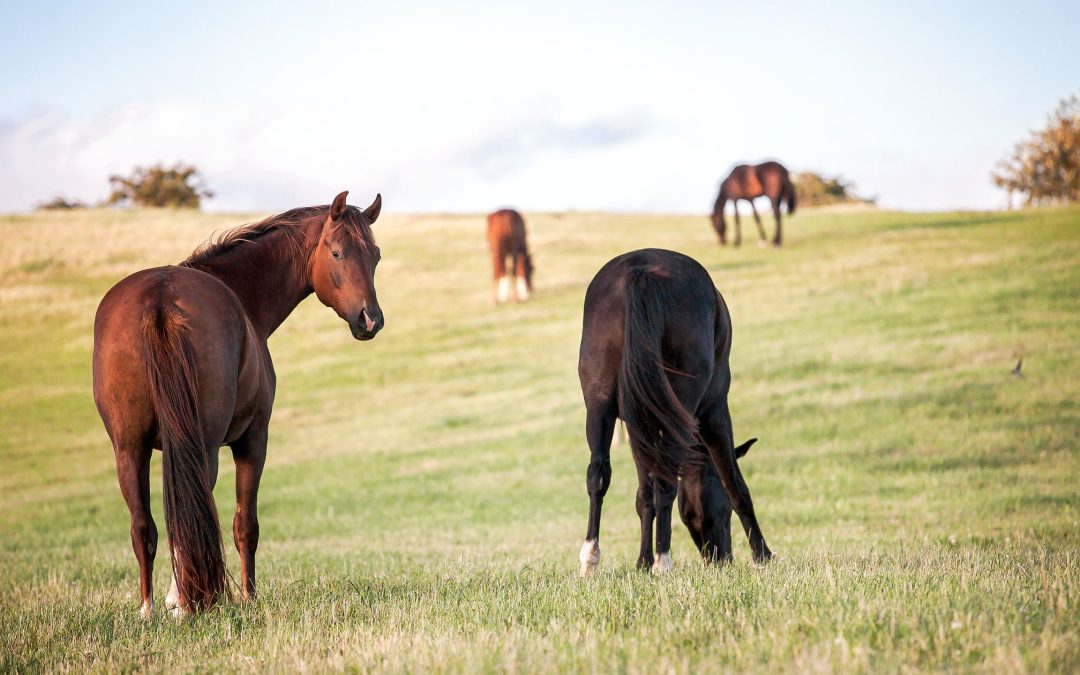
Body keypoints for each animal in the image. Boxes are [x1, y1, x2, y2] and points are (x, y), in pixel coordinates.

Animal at [91, 190, 384, 617]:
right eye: (337, 253)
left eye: (375, 255)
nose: (370, 320)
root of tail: (160, 298)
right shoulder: (253, 440)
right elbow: (245, 525)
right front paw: (247, 596)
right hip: (204, 445)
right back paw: (187, 602)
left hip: (128, 448)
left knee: (144, 525)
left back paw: (150, 607)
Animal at [578, 247, 773, 574]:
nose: (721, 558)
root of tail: (641, 272)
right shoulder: (714, 414)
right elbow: (735, 484)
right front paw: (762, 554)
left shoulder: (638, 427)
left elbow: (644, 495)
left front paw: (642, 562)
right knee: (667, 482)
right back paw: (663, 561)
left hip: (599, 404)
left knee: (598, 473)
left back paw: (591, 558)